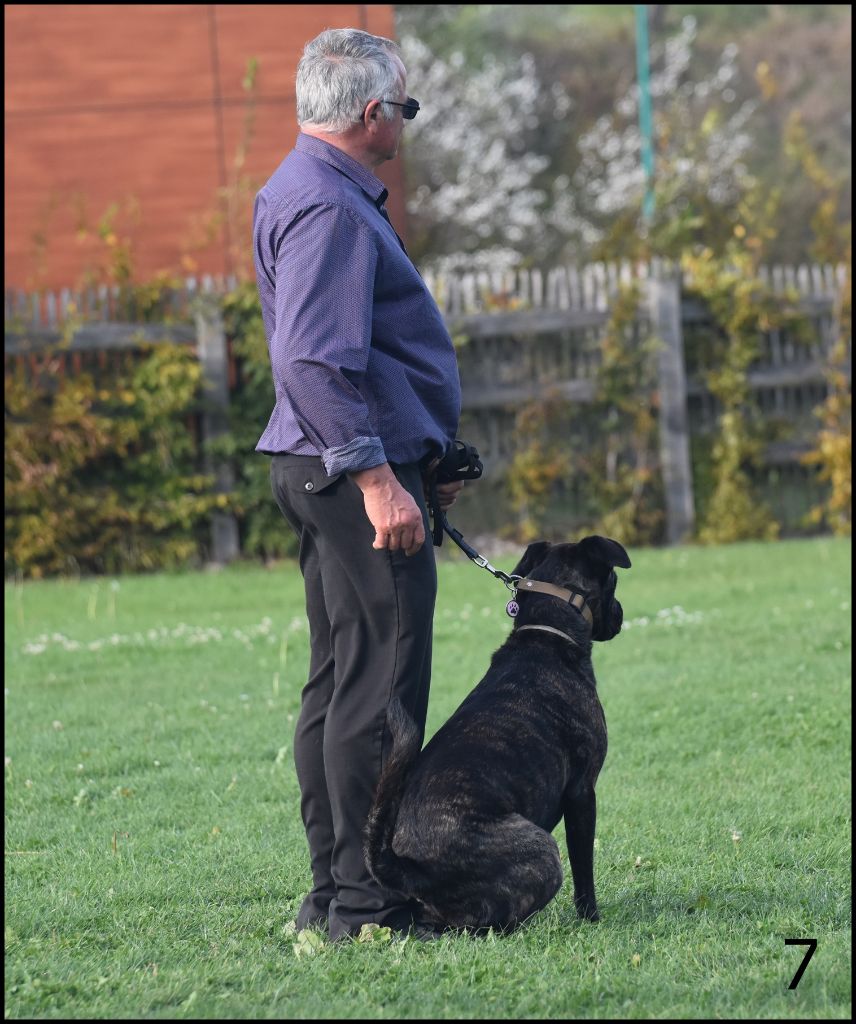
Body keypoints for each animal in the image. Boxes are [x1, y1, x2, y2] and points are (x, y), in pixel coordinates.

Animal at [363, 535, 631, 932]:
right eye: (613, 580)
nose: (621, 614)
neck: (546, 634)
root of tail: (408, 868)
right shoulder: (583, 793)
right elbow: (584, 870)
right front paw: (591, 918)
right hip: (542, 850)